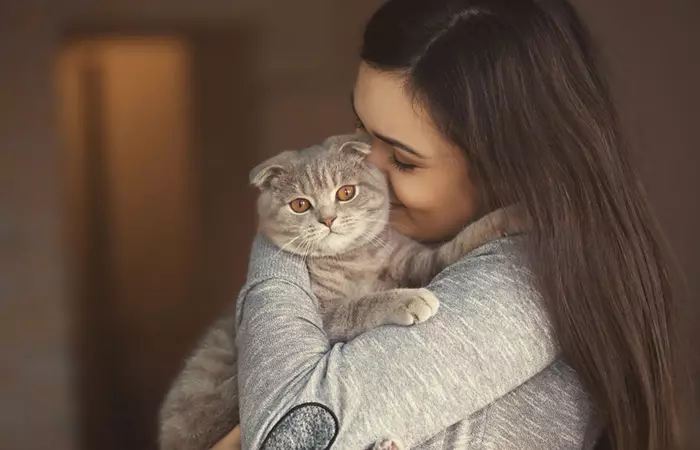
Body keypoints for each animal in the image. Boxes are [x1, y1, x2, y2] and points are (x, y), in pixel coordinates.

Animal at [157, 134, 524, 450]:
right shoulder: (324, 316)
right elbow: (359, 306)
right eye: (300, 204)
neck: (352, 259)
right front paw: (409, 298)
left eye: (346, 193)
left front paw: (510, 216)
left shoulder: (414, 259)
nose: (328, 219)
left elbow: (453, 247)